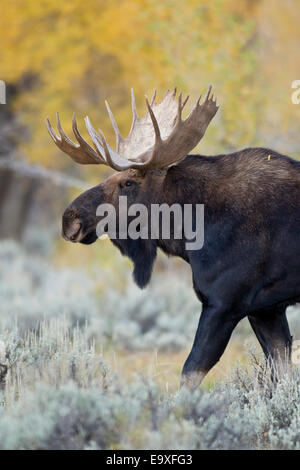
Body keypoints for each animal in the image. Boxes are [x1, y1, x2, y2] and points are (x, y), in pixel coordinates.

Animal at [45, 86, 298, 388]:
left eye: (128, 183)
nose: (69, 219)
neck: (192, 233)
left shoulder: (225, 302)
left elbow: (190, 372)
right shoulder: (266, 309)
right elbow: (282, 375)